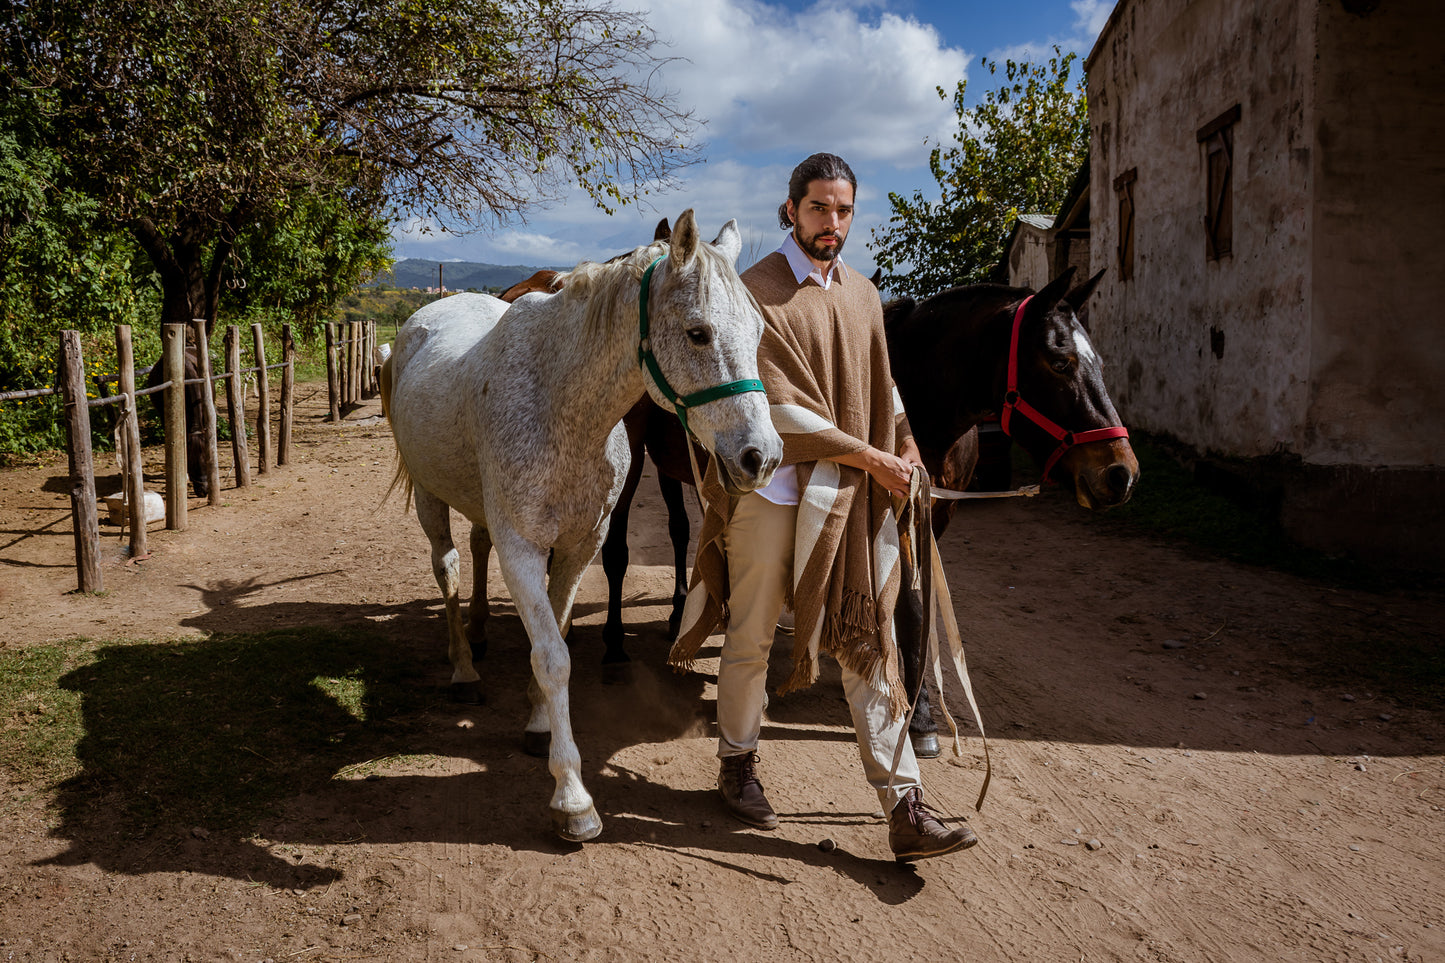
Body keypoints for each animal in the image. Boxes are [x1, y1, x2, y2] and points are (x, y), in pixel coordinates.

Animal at [381, 206, 780, 838]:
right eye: (698, 332)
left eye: (759, 333)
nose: (760, 457)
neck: (560, 406)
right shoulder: (524, 548)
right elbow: (553, 656)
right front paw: (572, 796)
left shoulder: (580, 544)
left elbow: (558, 632)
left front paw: (539, 723)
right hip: (428, 497)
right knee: (446, 568)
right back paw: (464, 667)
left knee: (476, 547)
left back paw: (478, 633)